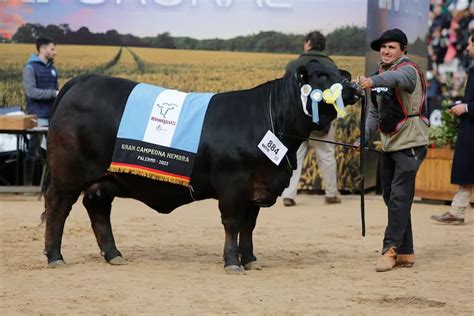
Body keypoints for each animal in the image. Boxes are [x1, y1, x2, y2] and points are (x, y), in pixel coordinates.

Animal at [43, 61, 360, 274]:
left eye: (339, 72)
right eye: (322, 75)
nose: (354, 88)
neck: (271, 121)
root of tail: (84, 80)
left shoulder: (256, 188)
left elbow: (249, 226)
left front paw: (250, 260)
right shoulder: (233, 186)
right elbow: (232, 224)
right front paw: (232, 262)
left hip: (105, 179)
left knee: (98, 209)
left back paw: (113, 254)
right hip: (66, 175)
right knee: (58, 208)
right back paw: (55, 256)